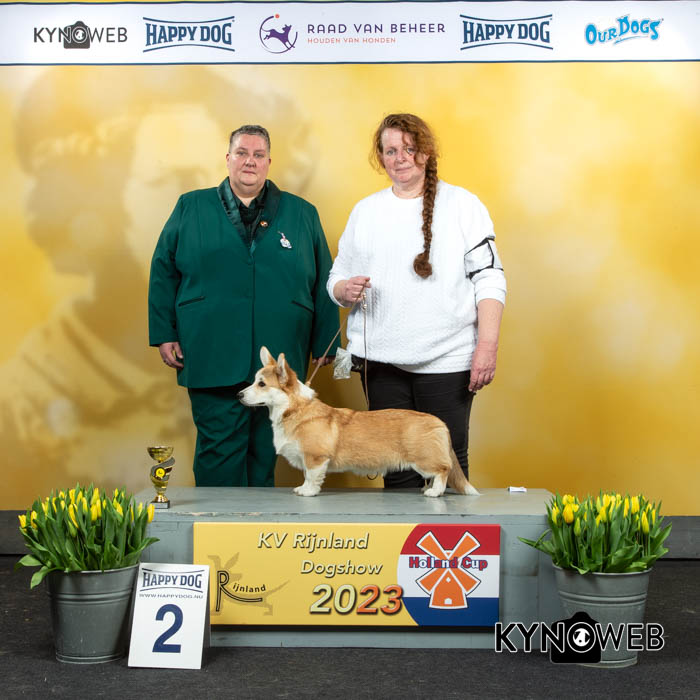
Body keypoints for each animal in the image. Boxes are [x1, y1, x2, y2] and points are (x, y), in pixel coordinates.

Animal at [238, 347, 480, 498]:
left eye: (261, 384)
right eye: (255, 381)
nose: (239, 395)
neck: (295, 409)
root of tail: (439, 421)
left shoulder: (315, 457)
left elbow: (312, 477)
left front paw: (308, 492)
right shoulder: (308, 459)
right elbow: (306, 476)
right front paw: (302, 488)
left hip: (424, 459)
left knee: (443, 470)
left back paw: (434, 492)